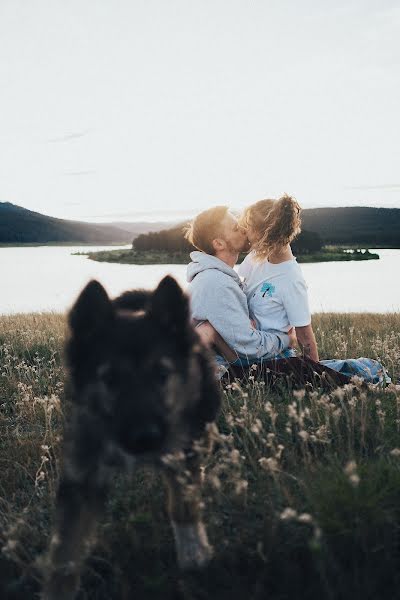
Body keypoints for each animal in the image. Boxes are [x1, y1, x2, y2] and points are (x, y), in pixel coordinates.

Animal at [43, 276, 222, 600]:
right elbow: (65, 548)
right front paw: (57, 590)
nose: (144, 438)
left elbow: (183, 505)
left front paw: (194, 554)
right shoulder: (83, 471)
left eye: (162, 375)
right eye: (109, 379)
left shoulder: (182, 453)